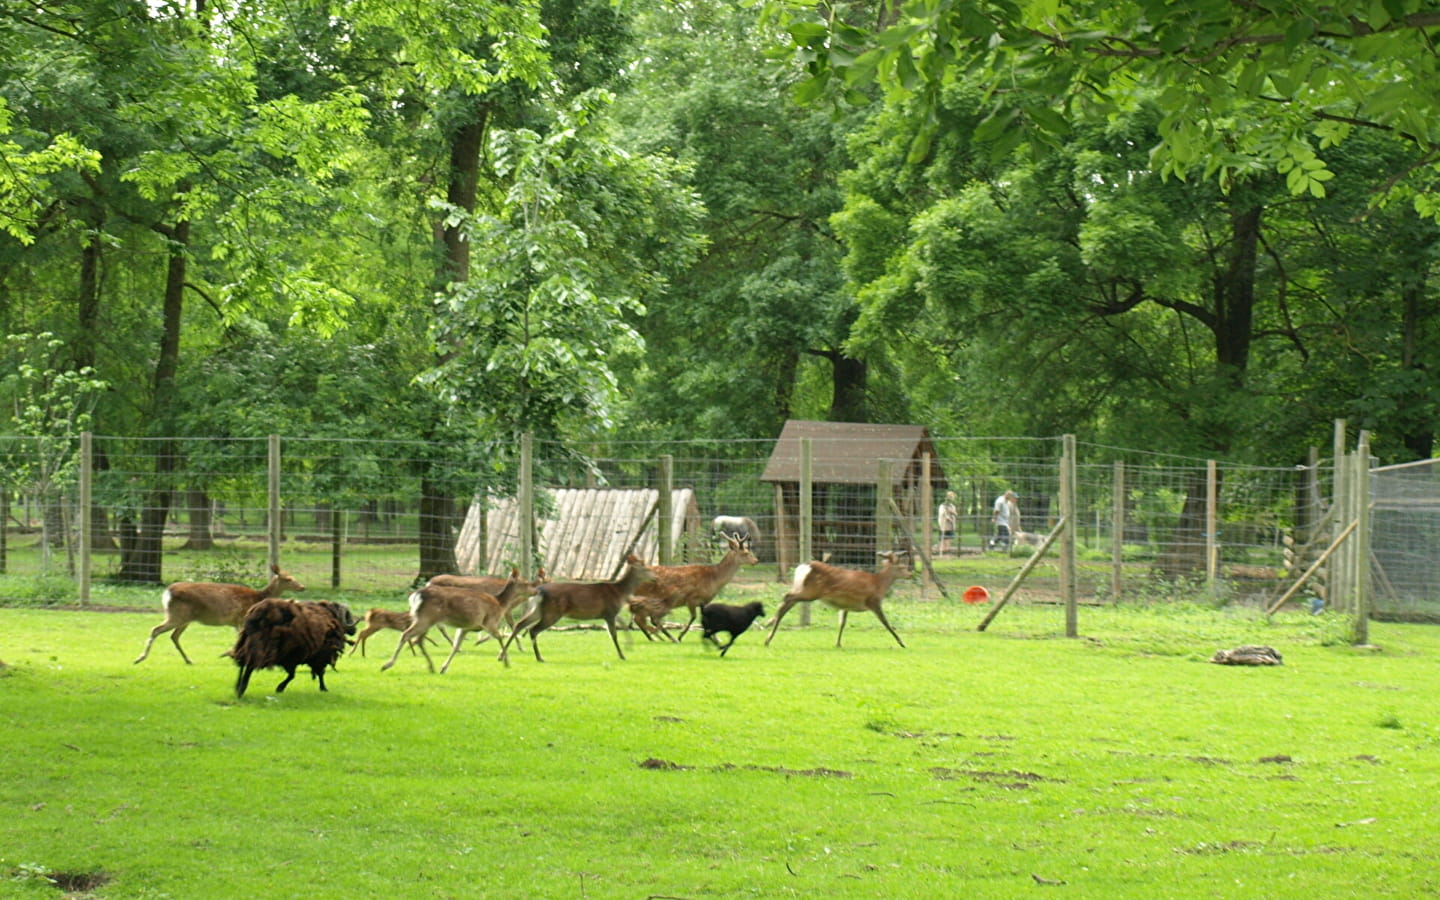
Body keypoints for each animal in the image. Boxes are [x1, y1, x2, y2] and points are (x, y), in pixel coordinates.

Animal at [135, 564, 306, 662]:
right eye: (288, 579)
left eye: (294, 577)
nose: (302, 587)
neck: (258, 598)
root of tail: (167, 592)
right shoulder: (241, 618)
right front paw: (231, 654)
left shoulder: (236, 622)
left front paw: (231, 654)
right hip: (177, 615)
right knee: (156, 630)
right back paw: (140, 658)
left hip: (184, 618)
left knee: (173, 636)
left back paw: (188, 660)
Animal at [380, 564, 521, 671]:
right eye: (524, 582)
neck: (500, 603)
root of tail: (417, 594)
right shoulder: (491, 620)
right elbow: (502, 634)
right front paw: (506, 659)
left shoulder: (470, 625)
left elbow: (458, 644)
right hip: (427, 618)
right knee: (409, 634)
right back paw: (389, 663)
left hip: (426, 618)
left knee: (420, 637)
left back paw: (430, 663)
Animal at [498, 550, 650, 662]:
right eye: (646, 568)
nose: (654, 576)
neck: (620, 592)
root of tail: (539, 591)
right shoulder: (610, 612)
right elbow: (613, 634)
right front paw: (622, 655)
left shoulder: (610, 613)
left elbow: (623, 626)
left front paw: (629, 647)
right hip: (553, 611)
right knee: (533, 629)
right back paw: (539, 657)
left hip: (538, 610)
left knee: (520, 624)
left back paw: (502, 655)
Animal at [633, 532, 766, 639]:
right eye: (746, 553)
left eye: (750, 552)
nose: (756, 561)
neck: (713, 579)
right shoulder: (691, 598)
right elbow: (693, 617)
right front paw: (681, 635)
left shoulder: (704, 601)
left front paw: (715, 638)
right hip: (649, 597)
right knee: (644, 619)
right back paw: (666, 638)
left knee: (643, 619)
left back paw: (658, 637)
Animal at [766, 550, 910, 648]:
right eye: (902, 567)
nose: (910, 574)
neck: (879, 585)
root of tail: (804, 567)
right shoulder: (873, 601)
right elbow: (886, 622)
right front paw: (902, 643)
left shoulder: (846, 605)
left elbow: (842, 623)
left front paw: (838, 643)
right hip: (811, 592)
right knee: (787, 597)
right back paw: (768, 632)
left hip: (801, 588)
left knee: (787, 602)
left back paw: (769, 629)